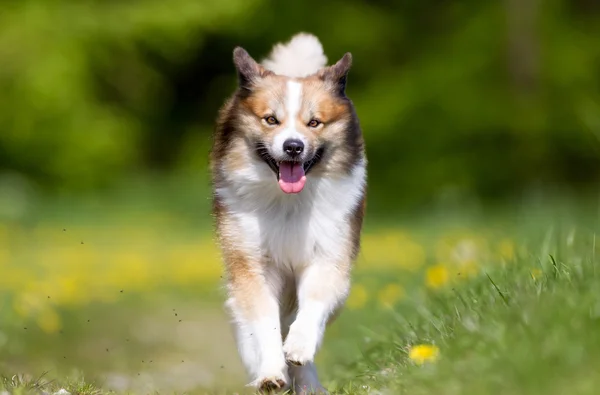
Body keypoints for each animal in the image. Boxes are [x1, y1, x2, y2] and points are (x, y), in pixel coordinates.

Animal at [211, 32, 366, 394]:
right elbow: (263, 322)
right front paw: (270, 371)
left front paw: (298, 347)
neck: (288, 205)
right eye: (271, 119)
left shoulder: (330, 255)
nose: (293, 146)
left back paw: (308, 382)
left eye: (314, 122)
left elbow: (313, 305)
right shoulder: (251, 264)